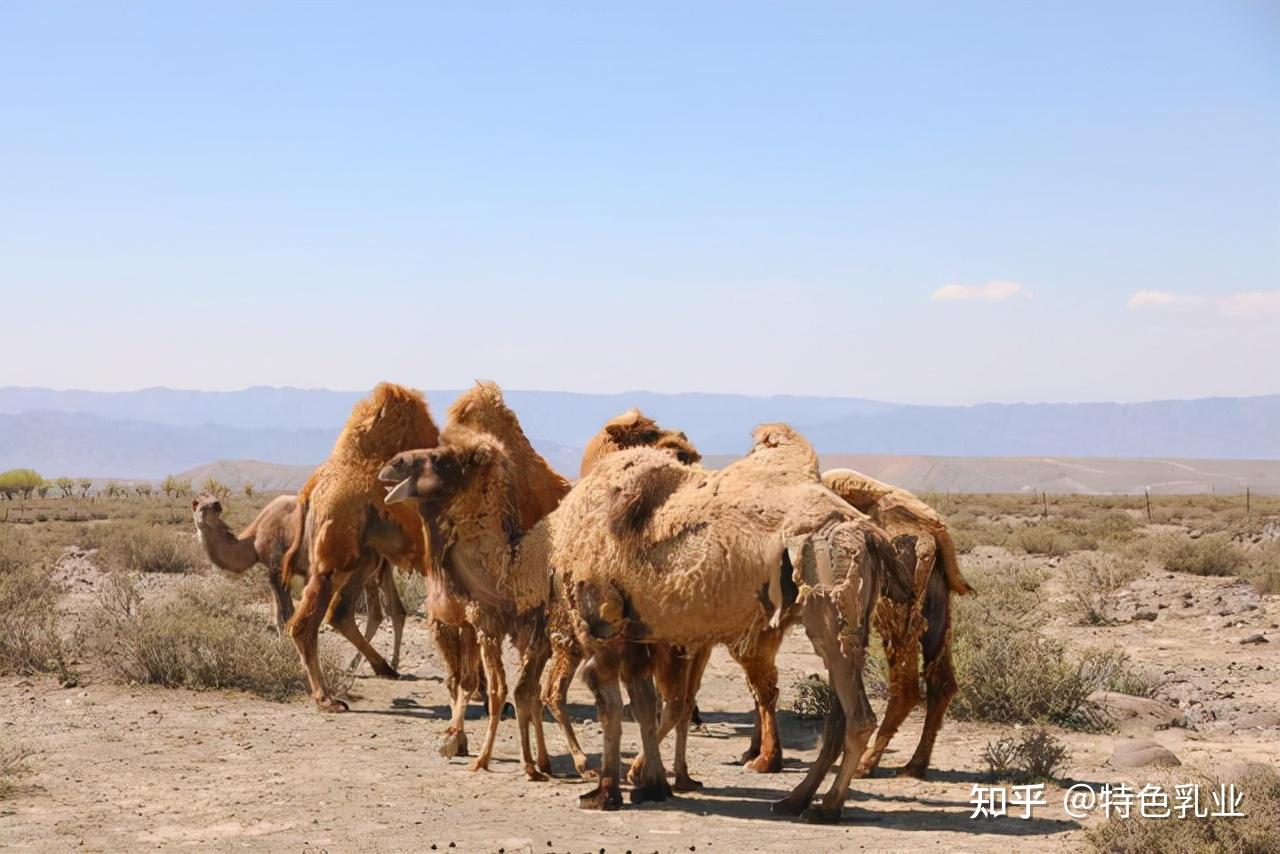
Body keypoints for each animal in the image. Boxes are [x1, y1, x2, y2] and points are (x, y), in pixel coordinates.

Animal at [189, 494, 407, 676]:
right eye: (200, 504)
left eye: (211, 504)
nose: (216, 505)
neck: (253, 540)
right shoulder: (281, 572)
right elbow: (282, 615)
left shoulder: (276, 568)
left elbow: (285, 616)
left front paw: (287, 658)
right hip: (380, 568)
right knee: (389, 611)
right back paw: (382, 664)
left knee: (355, 613)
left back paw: (377, 667)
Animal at [282, 384, 442, 711]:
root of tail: (314, 486)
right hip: (337, 557)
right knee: (307, 623)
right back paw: (327, 697)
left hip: (364, 558)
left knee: (341, 613)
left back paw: (383, 669)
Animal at [378, 376, 570, 778]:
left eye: (440, 458)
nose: (391, 463)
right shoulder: (470, 619)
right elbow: (478, 684)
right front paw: (459, 741)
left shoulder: (512, 625)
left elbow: (510, 690)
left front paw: (506, 759)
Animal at [545, 425, 916, 819]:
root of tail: (870, 535)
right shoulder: (638, 636)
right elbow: (645, 704)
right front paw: (651, 785)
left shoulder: (601, 626)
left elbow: (612, 705)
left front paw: (606, 793)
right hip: (852, 620)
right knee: (838, 716)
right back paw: (795, 799)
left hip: (829, 601)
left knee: (858, 718)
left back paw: (825, 807)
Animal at [819, 471, 967, 778]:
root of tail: (931, 536)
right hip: (937, 611)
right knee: (942, 682)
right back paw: (914, 764)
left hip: (895, 613)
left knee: (907, 688)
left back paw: (865, 764)